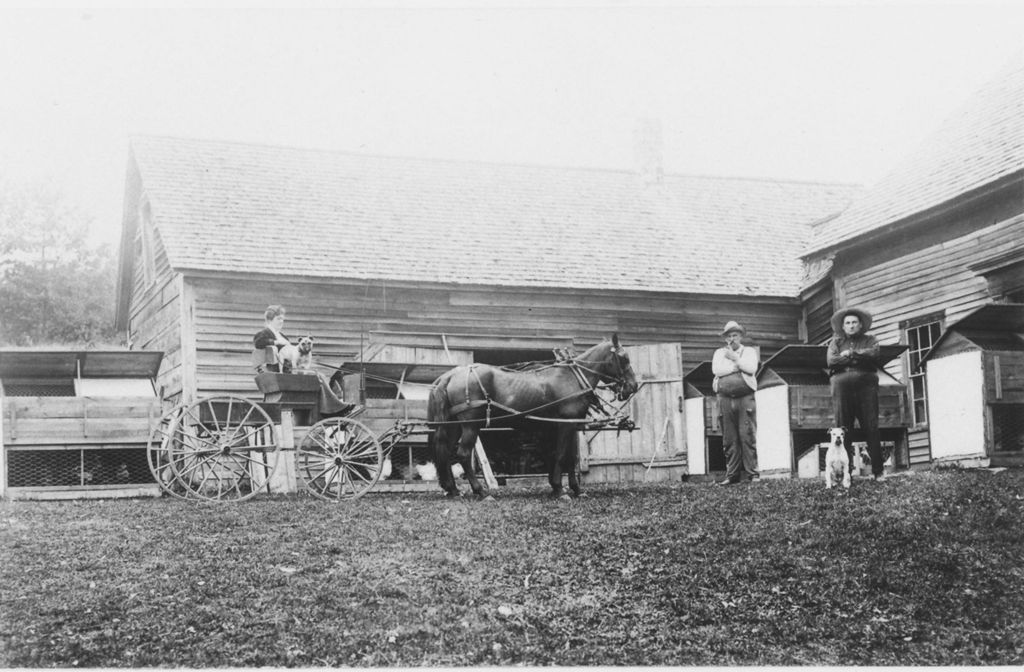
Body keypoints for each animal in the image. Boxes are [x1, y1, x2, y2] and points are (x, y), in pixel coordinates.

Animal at [421, 333, 630, 495]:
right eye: (624, 358)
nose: (633, 386)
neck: (573, 378)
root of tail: (450, 375)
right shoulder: (566, 424)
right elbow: (562, 455)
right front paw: (560, 489)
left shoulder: (567, 425)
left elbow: (567, 457)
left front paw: (574, 489)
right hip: (471, 425)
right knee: (463, 454)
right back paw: (480, 491)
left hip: (454, 425)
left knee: (446, 452)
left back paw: (453, 489)